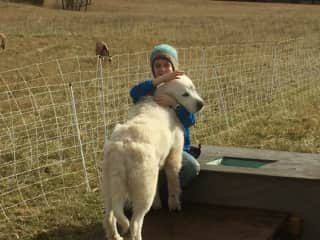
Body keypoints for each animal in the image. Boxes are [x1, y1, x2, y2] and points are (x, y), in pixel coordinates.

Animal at [101, 74, 204, 239]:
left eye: (193, 88)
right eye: (185, 94)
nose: (201, 104)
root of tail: (122, 147)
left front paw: (158, 204)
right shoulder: (174, 155)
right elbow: (173, 182)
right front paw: (174, 204)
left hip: (111, 186)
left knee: (109, 217)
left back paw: (116, 236)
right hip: (143, 189)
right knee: (135, 223)